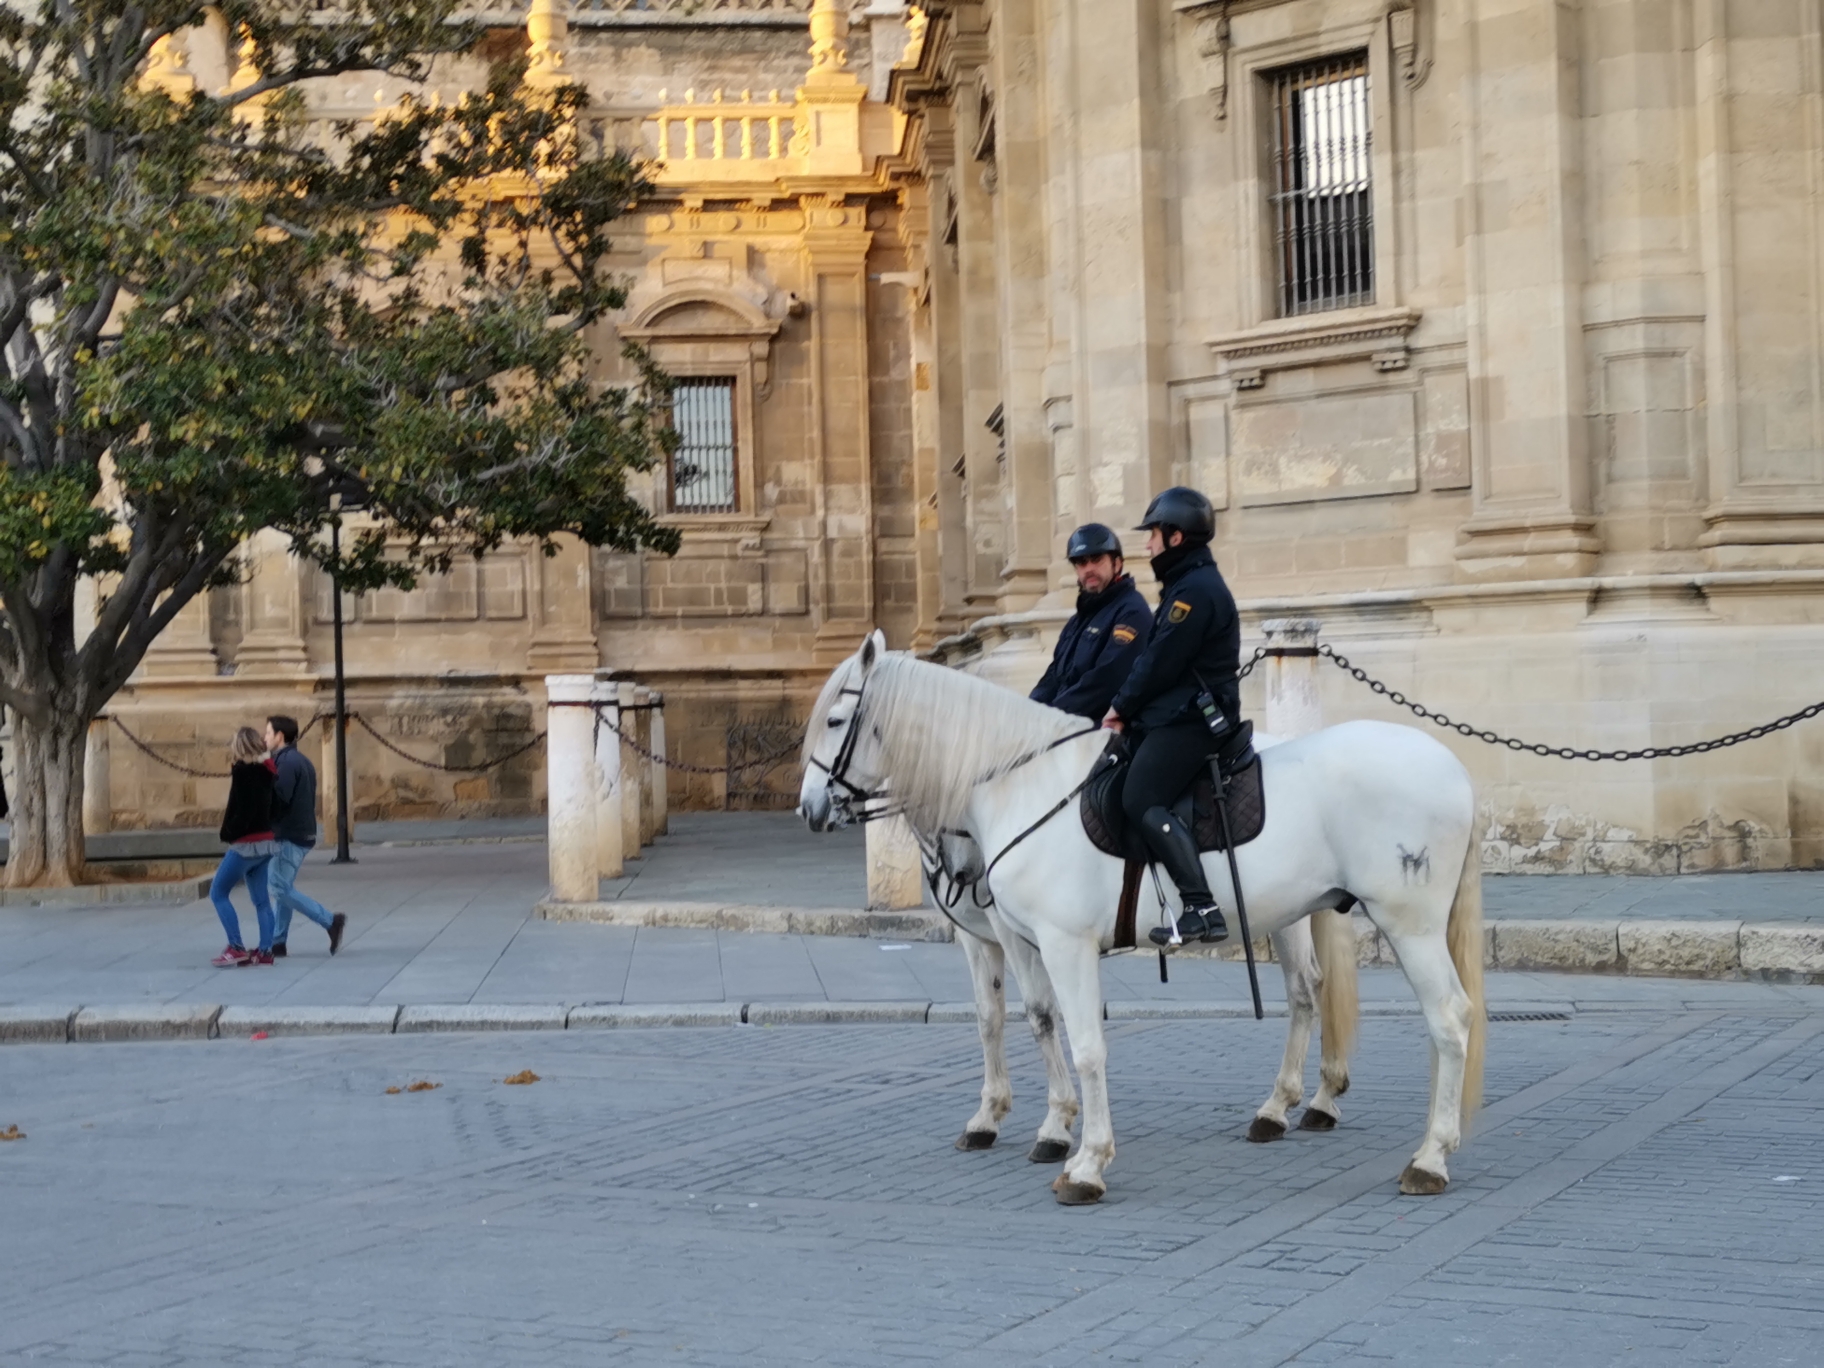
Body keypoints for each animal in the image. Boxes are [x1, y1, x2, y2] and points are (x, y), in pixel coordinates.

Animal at [798, 638, 1481, 1203]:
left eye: (834, 720)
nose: (809, 809)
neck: (1020, 783)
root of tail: (1453, 765)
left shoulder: (1061, 944)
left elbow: (1084, 1045)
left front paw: (1084, 1160)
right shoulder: (1007, 940)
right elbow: (1022, 1020)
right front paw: (1030, 1124)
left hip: (1407, 925)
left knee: (1442, 1018)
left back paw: (1428, 1156)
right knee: (1339, 999)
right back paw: (1318, 1113)